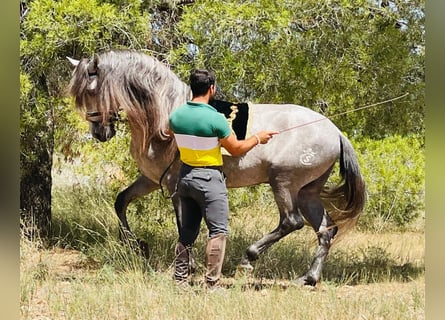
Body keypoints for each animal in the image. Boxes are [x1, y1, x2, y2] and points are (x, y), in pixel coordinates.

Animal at [67, 49, 364, 284]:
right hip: (307, 192)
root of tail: (335, 131)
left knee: (291, 222)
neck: (163, 116)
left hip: (283, 182)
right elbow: (121, 201)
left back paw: (248, 259)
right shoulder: (151, 179)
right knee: (326, 230)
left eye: (91, 91)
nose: (100, 133)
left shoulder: (175, 185)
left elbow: (183, 225)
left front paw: (188, 266)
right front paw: (137, 245)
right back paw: (309, 278)